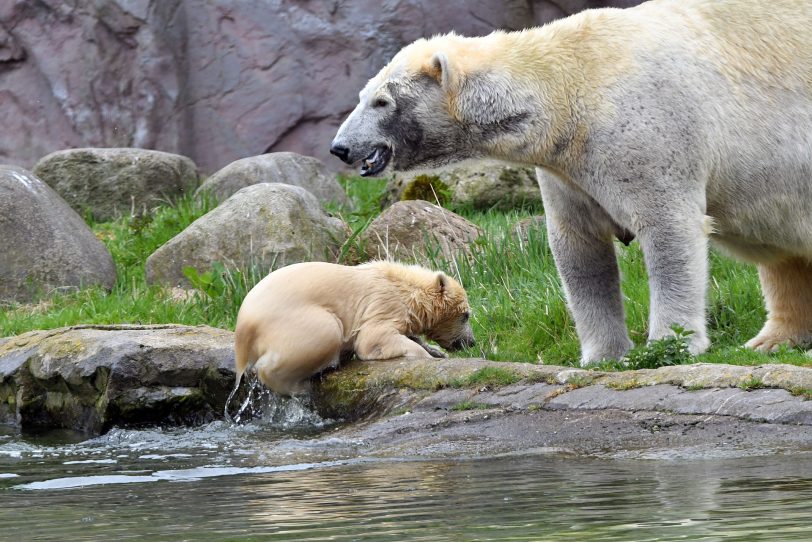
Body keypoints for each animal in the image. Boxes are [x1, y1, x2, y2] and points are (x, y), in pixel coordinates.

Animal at [330, 0, 812, 368]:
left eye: (381, 101)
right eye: (361, 96)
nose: (340, 148)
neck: (568, 90)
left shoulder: (650, 136)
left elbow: (669, 233)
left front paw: (669, 345)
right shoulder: (568, 168)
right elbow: (579, 248)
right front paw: (602, 355)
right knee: (782, 255)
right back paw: (773, 339)